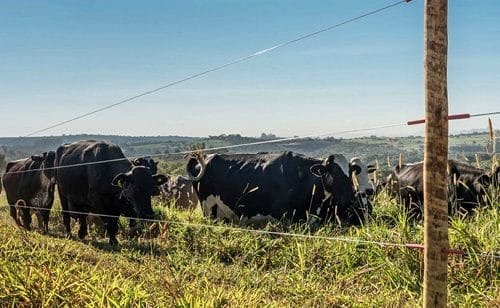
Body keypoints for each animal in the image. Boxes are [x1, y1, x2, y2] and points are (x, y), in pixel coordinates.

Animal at [186, 152, 374, 226]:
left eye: (350, 173)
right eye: (333, 172)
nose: (352, 198)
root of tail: (207, 157)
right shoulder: (282, 217)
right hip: (207, 207)